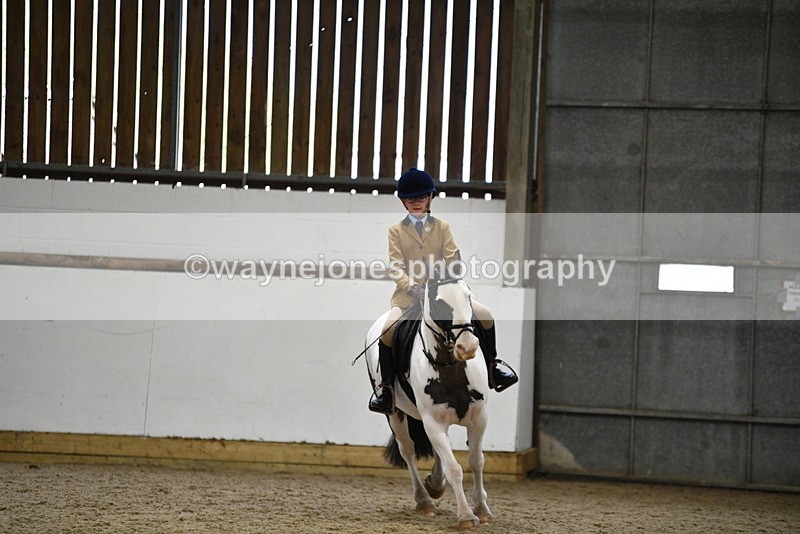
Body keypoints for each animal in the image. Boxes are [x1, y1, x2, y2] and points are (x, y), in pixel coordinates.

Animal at [365, 278, 492, 530]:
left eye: (468, 297)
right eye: (439, 303)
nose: (468, 347)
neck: (450, 367)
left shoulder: (478, 419)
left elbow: (476, 461)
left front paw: (482, 509)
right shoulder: (433, 422)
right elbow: (455, 468)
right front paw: (466, 516)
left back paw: (435, 484)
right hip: (395, 414)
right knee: (407, 451)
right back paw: (424, 500)